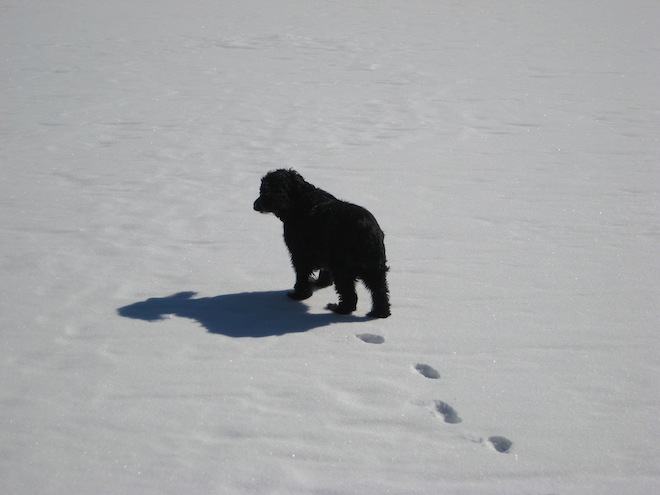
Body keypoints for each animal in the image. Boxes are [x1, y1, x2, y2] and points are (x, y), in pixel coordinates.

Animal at [251, 170, 386, 318]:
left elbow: (302, 277)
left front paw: (299, 295)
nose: (255, 205)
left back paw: (338, 308)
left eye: (263, 191)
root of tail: (365, 229)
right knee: (380, 292)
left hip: (342, 269)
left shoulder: (299, 254)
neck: (298, 197)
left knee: (350, 296)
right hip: (375, 269)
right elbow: (324, 272)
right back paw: (380, 313)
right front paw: (322, 283)